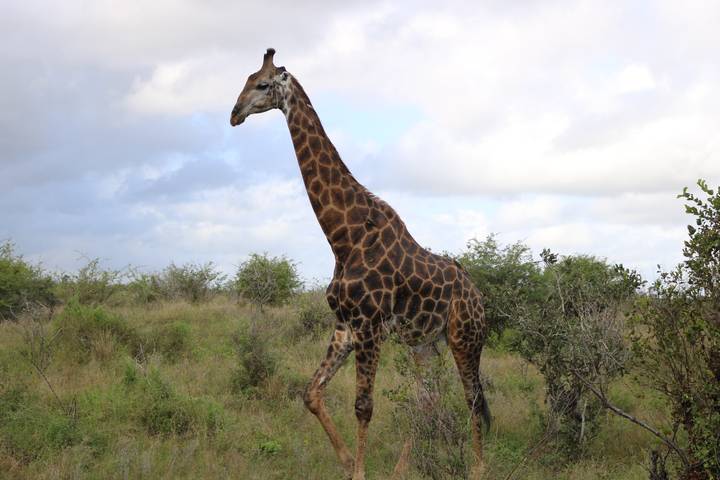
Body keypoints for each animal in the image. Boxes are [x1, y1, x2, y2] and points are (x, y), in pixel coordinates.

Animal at [230, 48, 491, 480]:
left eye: (263, 84)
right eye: (246, 80)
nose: (234, 114)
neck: (343, 237)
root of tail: (480, 297)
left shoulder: (370, 326)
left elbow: (363, 407)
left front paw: (359, 471)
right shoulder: (345, 325)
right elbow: (311, 392)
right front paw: (349, 460)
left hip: (465, 338)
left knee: (472, 398)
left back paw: (478, 467)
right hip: (425, 343)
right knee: (428, 398)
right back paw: (403, 468)